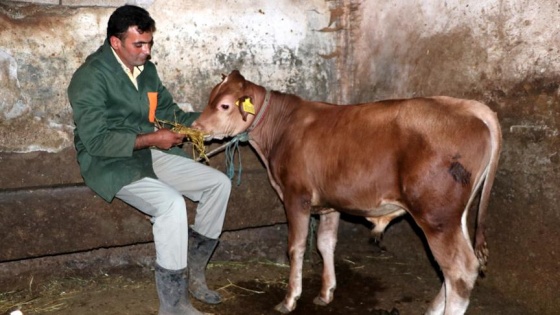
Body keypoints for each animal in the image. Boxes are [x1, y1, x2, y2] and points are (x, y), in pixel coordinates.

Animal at [192, 71, 504, 315]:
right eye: (211, 97)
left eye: (224, 105)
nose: (196, 127)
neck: (281, 129)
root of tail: (467, 107)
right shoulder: (330, 203)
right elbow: (325, 243)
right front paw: (326, 293)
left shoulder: (296, 195)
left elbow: (297, 247)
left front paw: (290, 299)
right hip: (456, 215)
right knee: (460, 267)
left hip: (435, 215)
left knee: (460, 270)